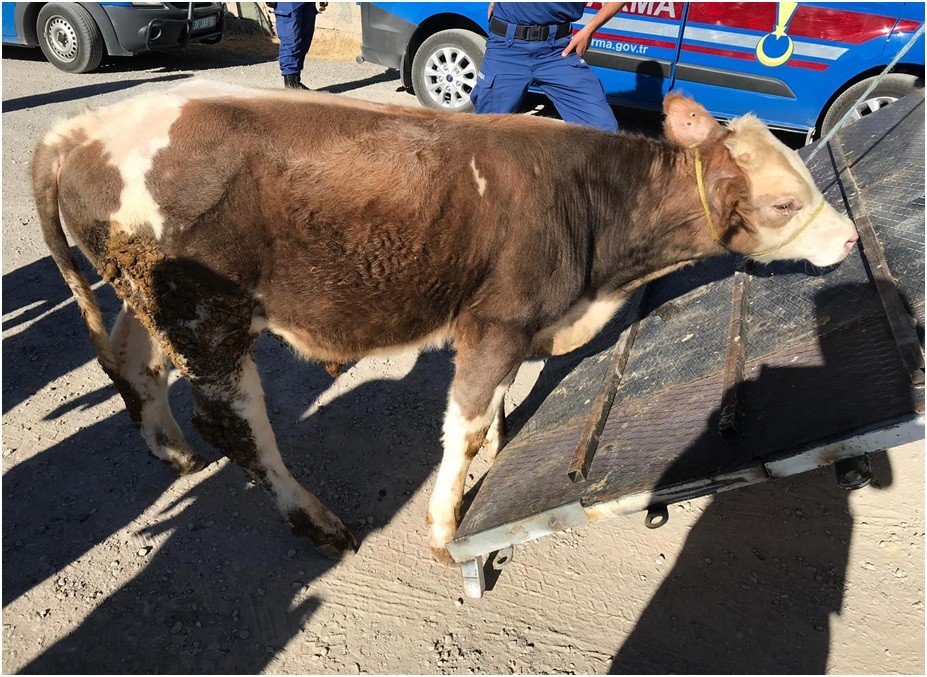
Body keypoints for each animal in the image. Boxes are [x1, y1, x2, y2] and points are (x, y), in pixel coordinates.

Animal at [32, 82, 860, 564]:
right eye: (783, 201)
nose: (851, 238)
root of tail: (81, 128)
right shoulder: (494, 322)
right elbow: (461, 424)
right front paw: (443, 520)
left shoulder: (521, 327)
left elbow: (493, 409)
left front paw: (497, 444)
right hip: (210, 318)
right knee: (234, 423)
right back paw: (312, 518)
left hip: (150, 300)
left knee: (133, 365)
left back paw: (172, 454)